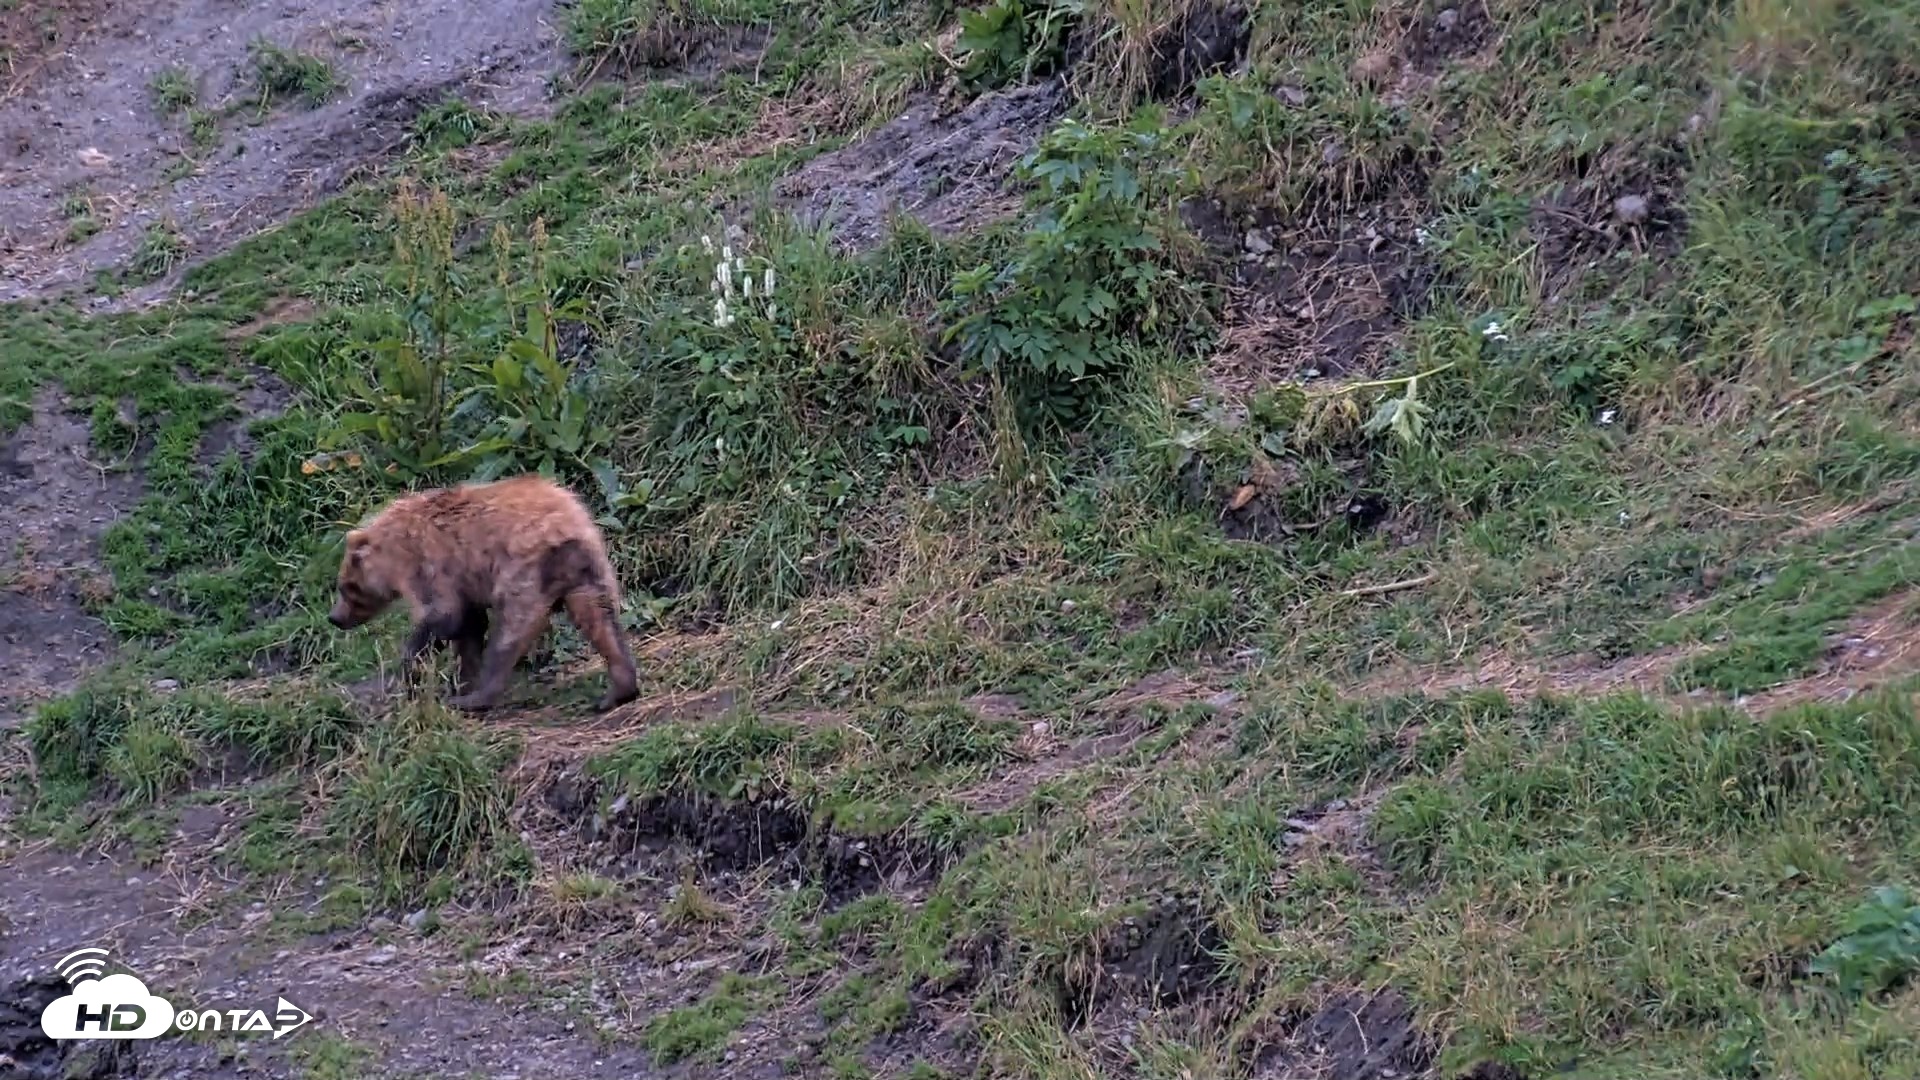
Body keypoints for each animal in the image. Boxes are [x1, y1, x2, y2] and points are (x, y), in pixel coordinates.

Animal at [326, 474, 641, 713]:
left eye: (344, 586)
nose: (334, 617)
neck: (391, 554)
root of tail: (564, 526)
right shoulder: (463, 582)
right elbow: (469, 627)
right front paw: (461, 680)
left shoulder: (428, 566)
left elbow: (444, 616)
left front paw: (414, 673)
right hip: (588, 569)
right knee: (601, 619)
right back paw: (619, 690)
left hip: (522, 569)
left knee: (511, 631)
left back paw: (477, 699)